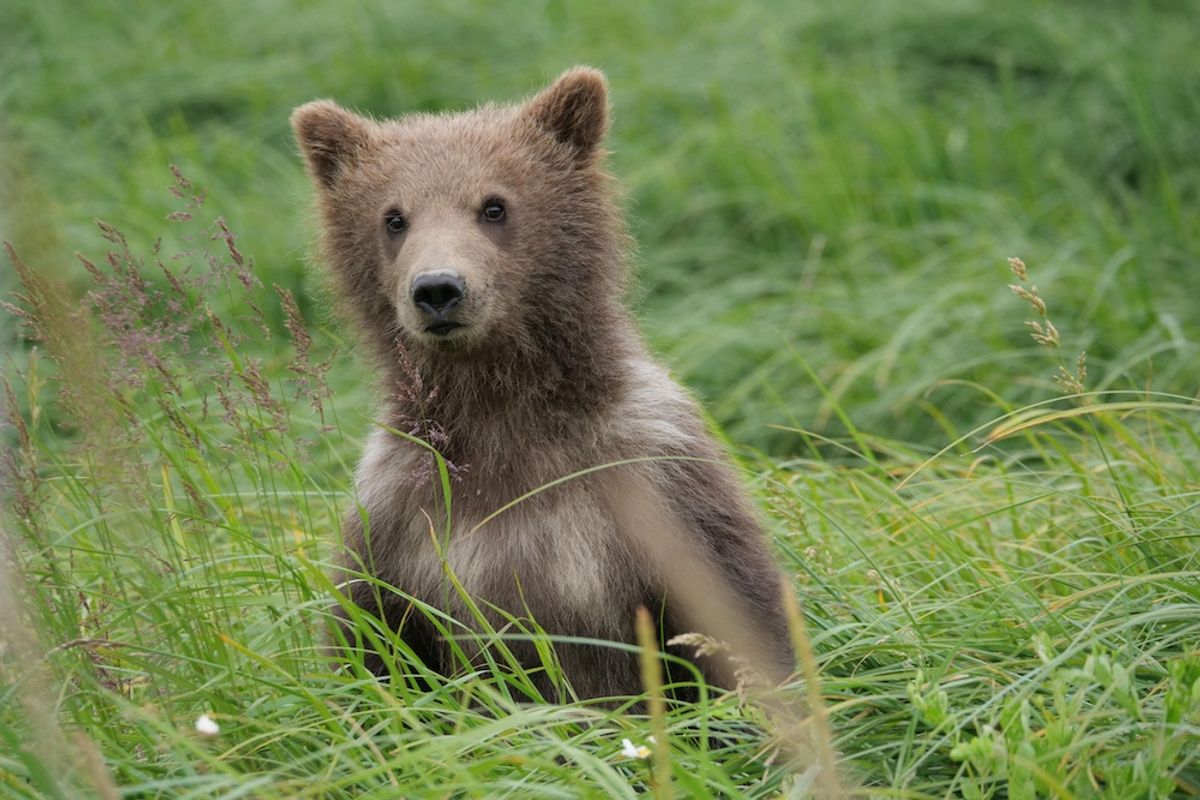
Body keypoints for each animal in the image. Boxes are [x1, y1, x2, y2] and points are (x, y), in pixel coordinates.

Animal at [291, 67, 794, 701]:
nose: (438, 289)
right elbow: (373, 647)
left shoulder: (656, 483)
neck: (500, 410)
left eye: (494, 205)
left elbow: (734, 617)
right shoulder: (396, 517)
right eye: (394, 217)